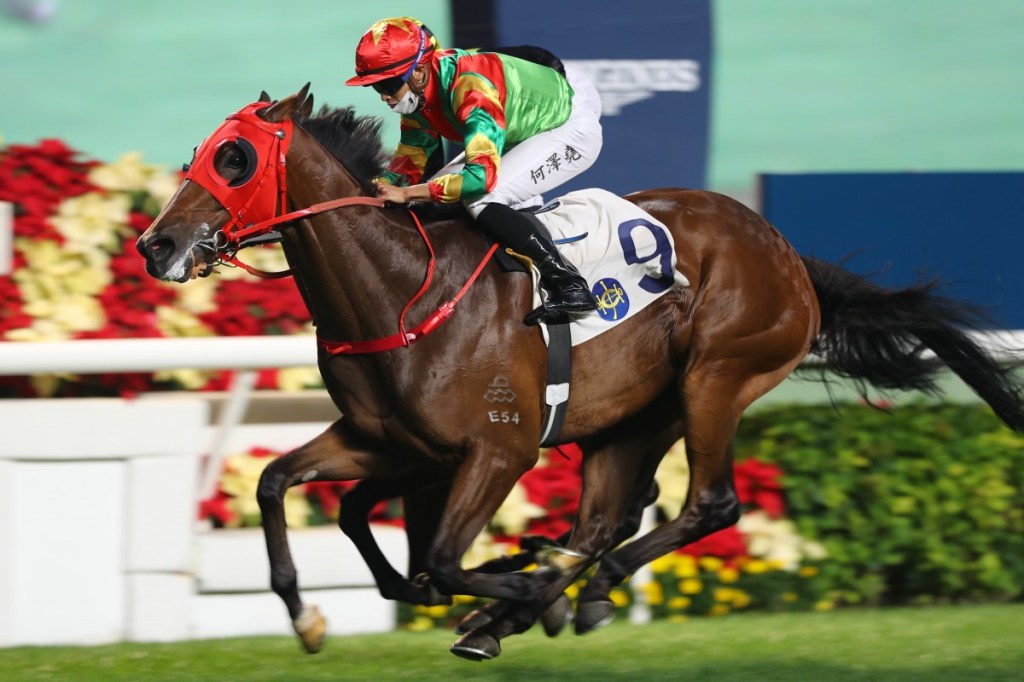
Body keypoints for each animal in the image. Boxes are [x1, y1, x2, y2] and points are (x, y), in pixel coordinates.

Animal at [136, 85, 1024, 659]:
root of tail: (785, 252)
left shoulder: (498, 450)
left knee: (706, 504)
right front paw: (308, 617)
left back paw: (564, 588)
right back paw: (548, 593)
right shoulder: (383, 441)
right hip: (631, 417)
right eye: (202, 152)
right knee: (607, 518)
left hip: (716, 378)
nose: (156, 243)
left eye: (235, 157)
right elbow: (282, 485)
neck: (396, 292)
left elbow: (440, 560)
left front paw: (523, 581)